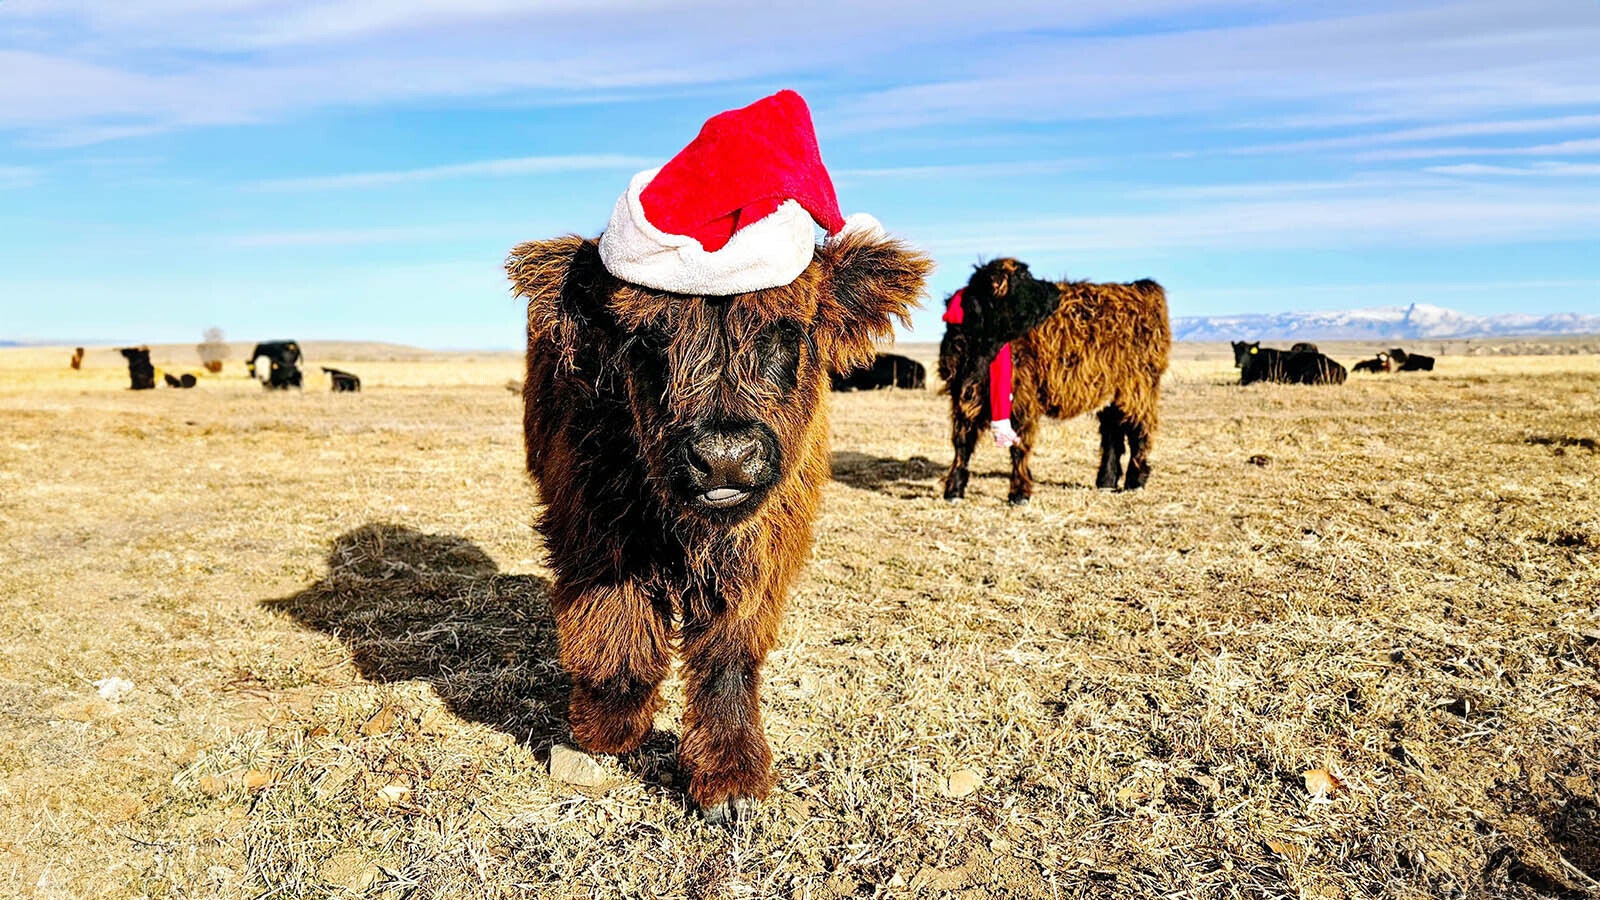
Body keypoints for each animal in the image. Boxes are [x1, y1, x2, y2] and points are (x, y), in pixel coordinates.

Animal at [499, 229, 928, 819]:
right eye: (648, 336)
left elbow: (727, 654)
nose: (724, 457)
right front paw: (608, 730)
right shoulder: (597, 534)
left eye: (787, 330)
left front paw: (730, 781)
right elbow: (619, 630)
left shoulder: (758, 557)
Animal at [940, 256, 1171, 499]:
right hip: (1112, 393)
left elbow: (1019, 446)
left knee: (1139, 431)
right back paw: (1106, 481)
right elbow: (962, 443)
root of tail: (1141, 287)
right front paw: (954, 490)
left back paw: (1135, 481)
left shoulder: (1022, 400)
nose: (1055, 294)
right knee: (1112, 434)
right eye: (1021, 281)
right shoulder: (963, 395)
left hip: (1138, 388)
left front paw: (1019, 493)